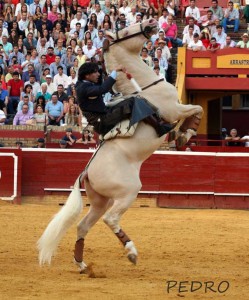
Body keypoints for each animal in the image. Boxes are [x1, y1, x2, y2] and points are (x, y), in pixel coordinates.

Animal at [38, 18, 203, 272]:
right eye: (124, 30)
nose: (151, 21)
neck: (144, 86)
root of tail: (85, 173)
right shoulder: (174, 109)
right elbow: (198, 109)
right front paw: (186, 132)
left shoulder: (177, 109)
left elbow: (194, 111)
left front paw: (181, 134)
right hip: (128, 192)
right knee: (111, 219)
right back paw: (131, 252)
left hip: (100, 201)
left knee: (83, 225)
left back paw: (82, 264)